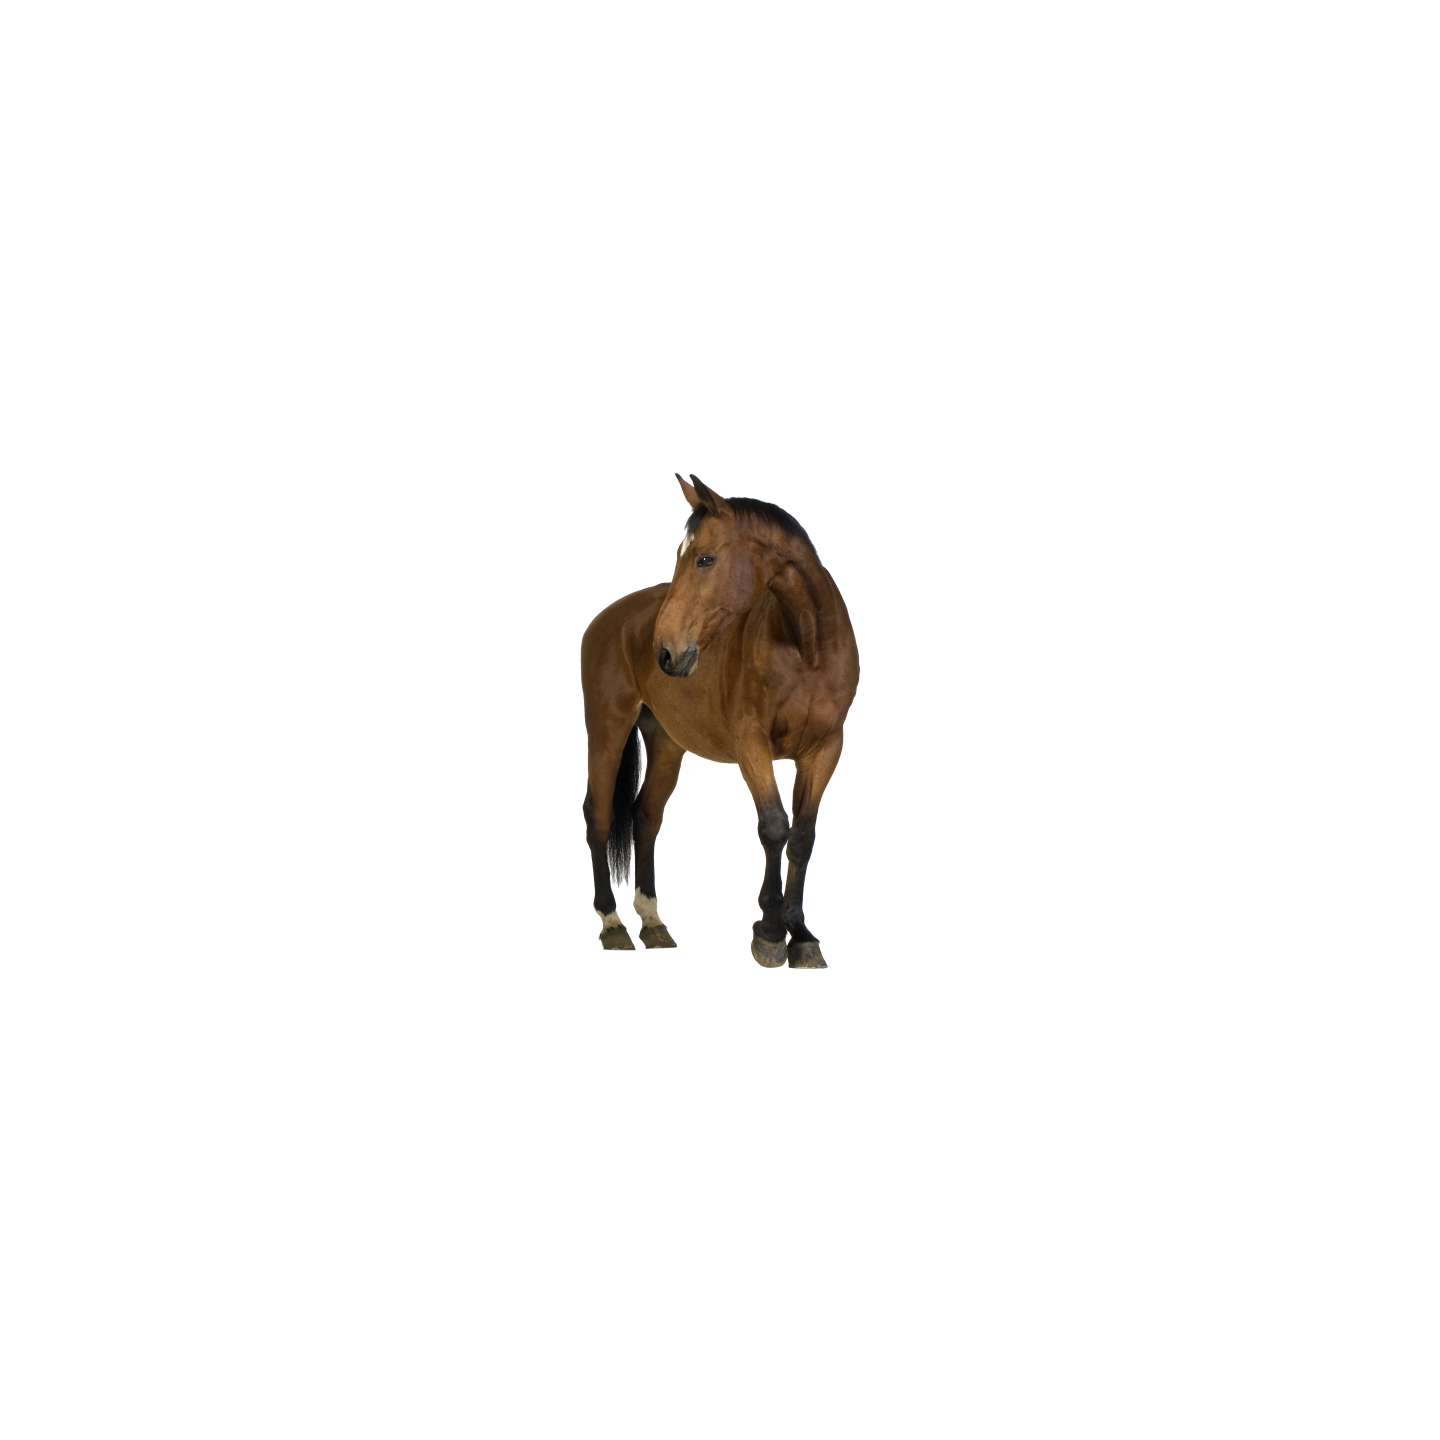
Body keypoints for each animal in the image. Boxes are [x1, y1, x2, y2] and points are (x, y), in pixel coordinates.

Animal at [579, 473, 859, 968]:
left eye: (705, 559)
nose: (665, 651)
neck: (806, 647)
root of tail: (610, 618)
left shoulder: (825, 748)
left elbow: (803, 835)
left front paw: (802, 935)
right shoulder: (752, 744)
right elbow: (774, 826)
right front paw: (770, 932)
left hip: (666, 741)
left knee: (646, 816)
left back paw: (653, 922)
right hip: (608, 729)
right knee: (599, 813)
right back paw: (613, 924)